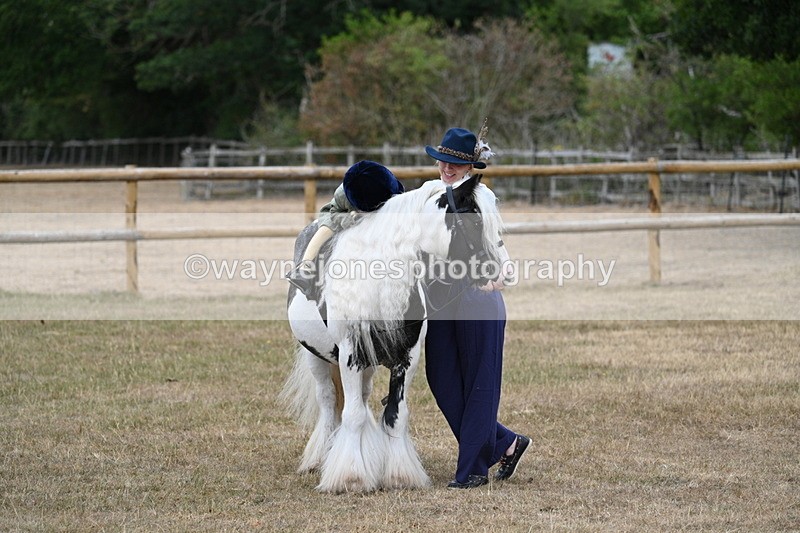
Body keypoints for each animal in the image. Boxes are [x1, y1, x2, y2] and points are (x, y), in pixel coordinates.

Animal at [280, 174, 508, 493]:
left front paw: (399, 476)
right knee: (328, 402)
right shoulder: (350, 357)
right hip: (316, 357)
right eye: (475, 220)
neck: (377, 287)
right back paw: (320, 457)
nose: (502, 272)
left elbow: (394, 416)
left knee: (361, 400)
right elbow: (351, 415)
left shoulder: (405, 360)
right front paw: (351, 478)